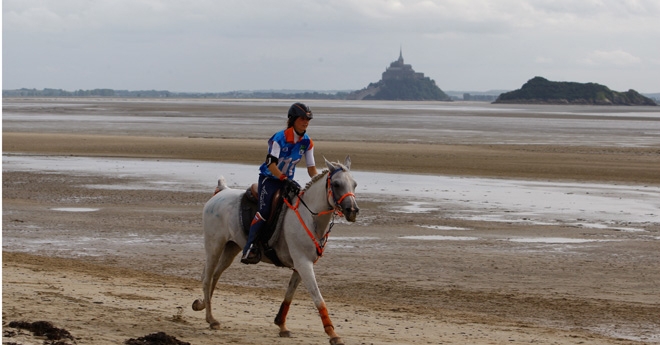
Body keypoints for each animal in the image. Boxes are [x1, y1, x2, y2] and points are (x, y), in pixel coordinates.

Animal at [192, 157, 356, 344]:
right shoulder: (304, 264)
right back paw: (211, 319)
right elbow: (318, 298)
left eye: (355, 184)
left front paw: (281, 325)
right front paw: (333, 334)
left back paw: (202, 305)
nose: (353, 210)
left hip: (230, 248)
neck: (309, 217)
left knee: (215, 276)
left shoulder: (300, 266)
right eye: (336, 184)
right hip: (214, 246)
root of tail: (221, 191)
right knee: (207, 278)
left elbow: (289, 295)